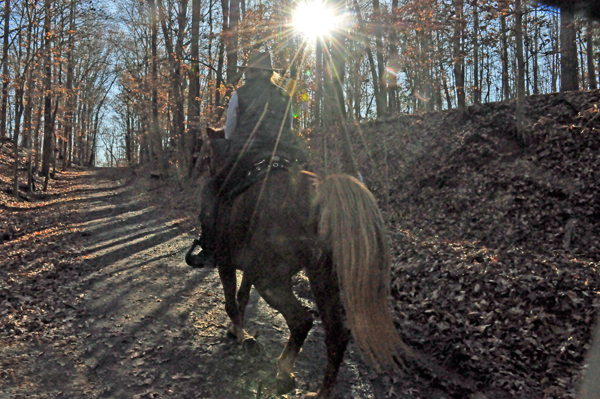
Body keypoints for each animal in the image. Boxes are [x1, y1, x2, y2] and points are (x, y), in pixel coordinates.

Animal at [188, 127, 412, 396]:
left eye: (206, 154)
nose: (196, 171)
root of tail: (321, 193)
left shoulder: (226, 264)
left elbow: (232, 303)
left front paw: (242, 337)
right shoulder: (249, 269)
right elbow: (242, 298)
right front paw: (238, 331)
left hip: (272, 280)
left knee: (301, 320)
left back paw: (284, 374)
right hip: (322, 279)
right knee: (336, 336)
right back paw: (321, 393)